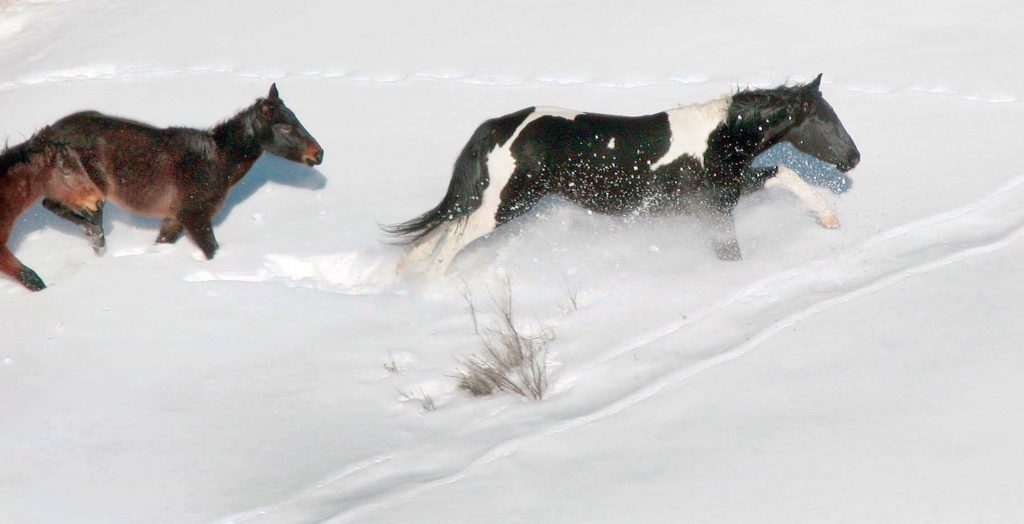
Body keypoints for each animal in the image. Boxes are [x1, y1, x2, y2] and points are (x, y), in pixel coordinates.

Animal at [43, 82, 323, 259]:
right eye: (284, 127)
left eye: (296, 118)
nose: (318, 154)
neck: (216, 161)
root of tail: (49, 134)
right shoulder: (193, 215)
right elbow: (211, 250)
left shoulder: (173, 219)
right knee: (52, 204)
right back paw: (95, 235)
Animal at [387, 75, 860, 278]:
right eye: (823, 120)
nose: (854, 158)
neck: (717, 137)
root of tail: (499, 127)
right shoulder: (716, 204)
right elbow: (732, 249)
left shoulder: (726, 193)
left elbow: (783, 174)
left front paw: (829, 218)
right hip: (506, 204)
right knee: (452, 241)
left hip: (493, 199)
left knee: (443, 227)